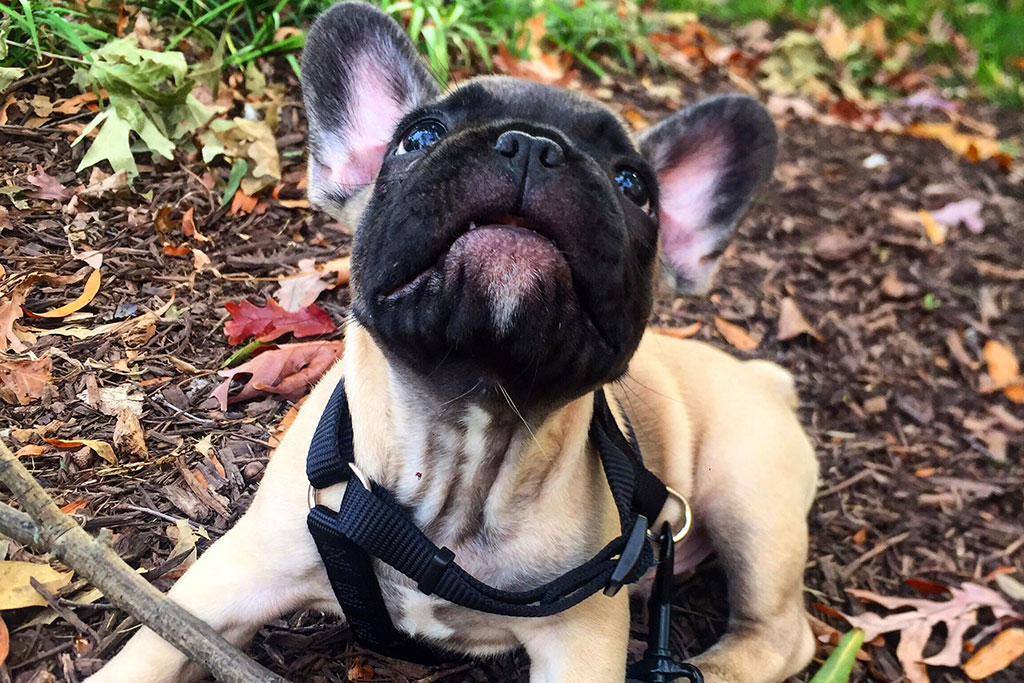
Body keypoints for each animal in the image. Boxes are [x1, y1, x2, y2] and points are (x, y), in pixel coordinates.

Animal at [87, 3, 818, 681]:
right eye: (419, 137)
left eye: (634, 185)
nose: (533, 145)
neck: (465, 439)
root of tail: (764, 379)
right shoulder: (233, 578)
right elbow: (152, 646)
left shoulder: (582, 637)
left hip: (750, 499)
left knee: (782, 635)